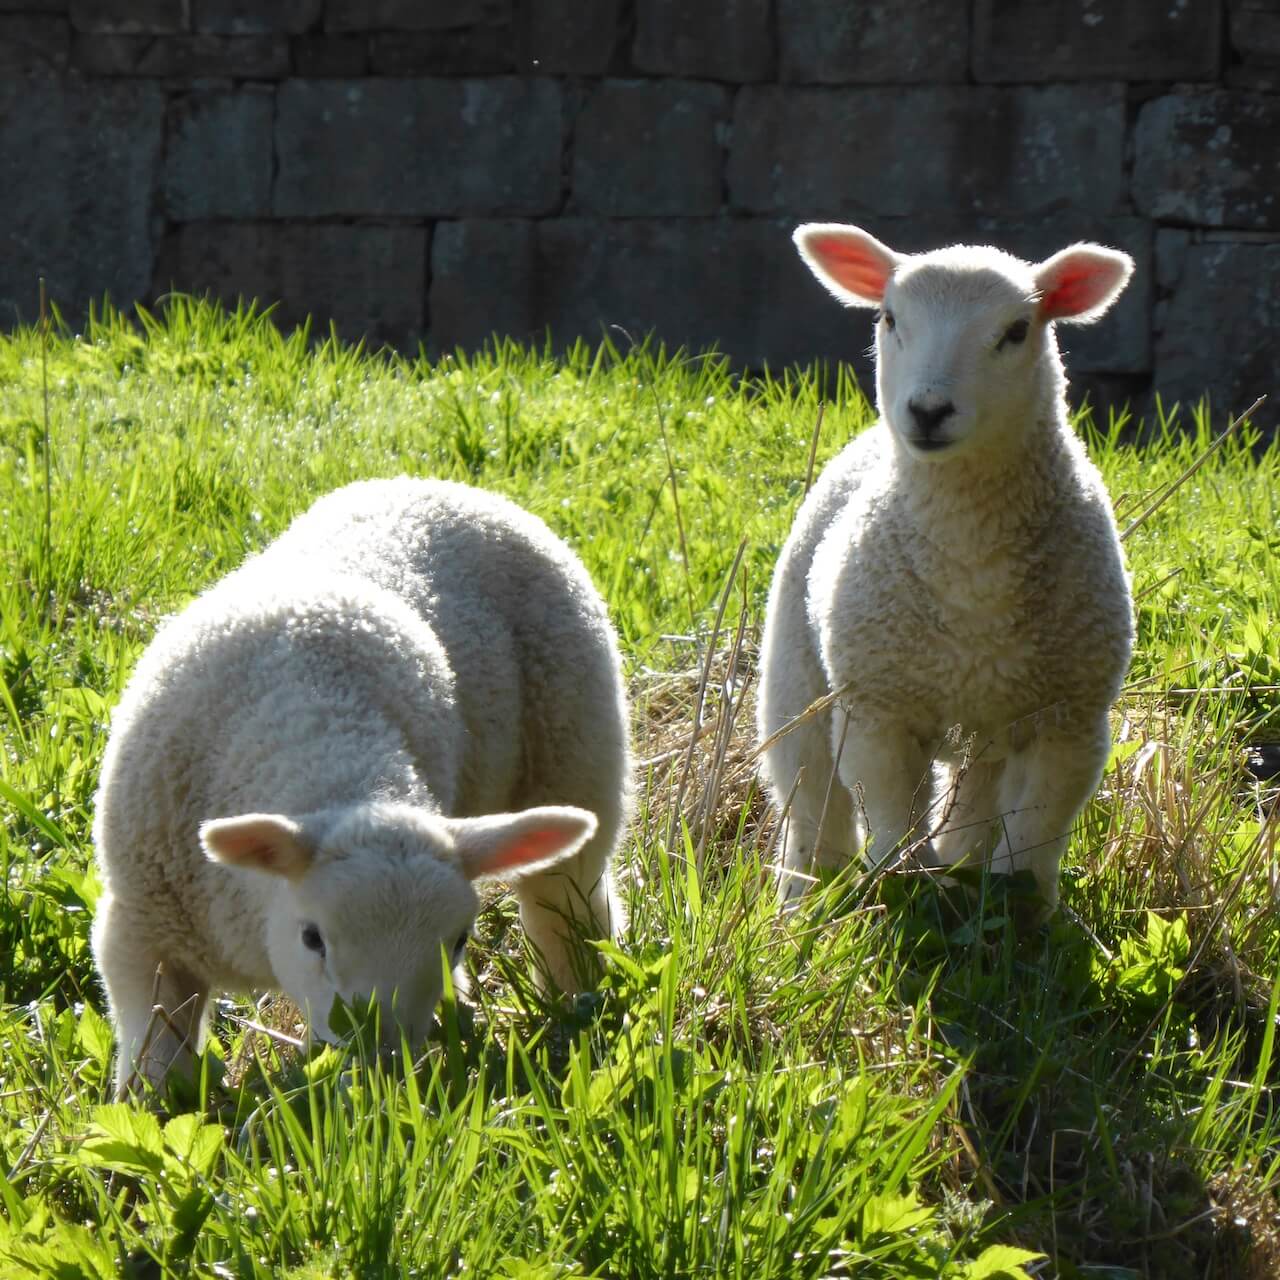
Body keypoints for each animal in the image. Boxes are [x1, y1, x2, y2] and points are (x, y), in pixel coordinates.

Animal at [92, 476, 632, 1095]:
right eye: (312, 938)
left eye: (459, 940)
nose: (382, 1059)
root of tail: (437, 484)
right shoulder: (140, 932)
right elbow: (156, 1052)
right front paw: (154, 1104)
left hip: (578, 752)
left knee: (564, 903)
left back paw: (574, 1004)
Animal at [752, 225, 1136, 916]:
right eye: (888, 317)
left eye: (1016, 330)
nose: (929, 410)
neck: (972, 565)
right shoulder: (877, 708)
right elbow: (889, 823)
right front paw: (903, 895)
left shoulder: (1072, 719)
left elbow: (1035, 839)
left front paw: (1026, 916)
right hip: (798, 677)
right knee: (811, 804)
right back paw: (802, 898)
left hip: (989, 722)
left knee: (972, 807)